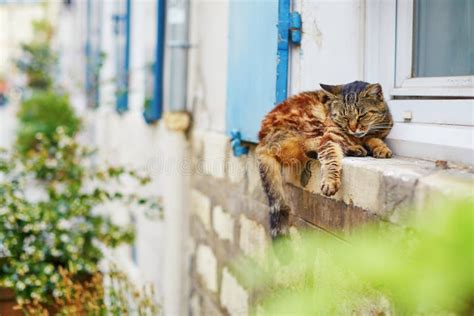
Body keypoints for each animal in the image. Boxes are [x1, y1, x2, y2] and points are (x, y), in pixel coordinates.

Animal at [256, 80, 392, 238]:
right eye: (344, 117)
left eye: (362, 115)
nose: (352, 129)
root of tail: (262, 141)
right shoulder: (330, 136)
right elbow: (330, 158)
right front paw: (330, 181)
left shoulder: (376, 133)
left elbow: (375, 139)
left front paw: (381, 148)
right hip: (312, 120)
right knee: (308, 144)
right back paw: (354, 149)